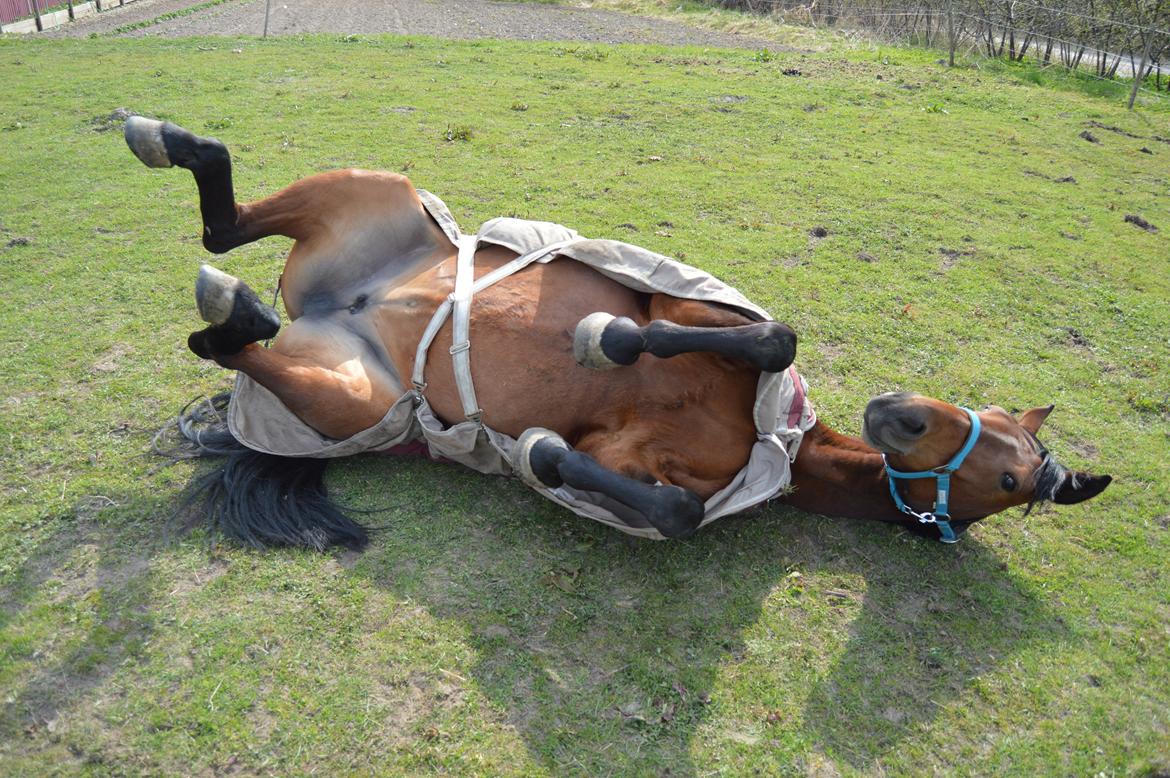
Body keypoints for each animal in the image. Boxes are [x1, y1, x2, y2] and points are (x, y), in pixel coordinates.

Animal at [123, 118, 1109, 549]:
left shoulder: (636, 464)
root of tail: (324, 310)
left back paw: (234, 305)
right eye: (983, 418)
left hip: (353, 400)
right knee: (223, 227)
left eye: (1013, 474)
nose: (897, 411)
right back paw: (160, 140)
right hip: (376, 192)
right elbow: (770, 337)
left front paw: (539, 452)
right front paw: (604, 338)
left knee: (224, 311)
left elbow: (665, 507)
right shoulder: (694, 312)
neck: (777, 441)